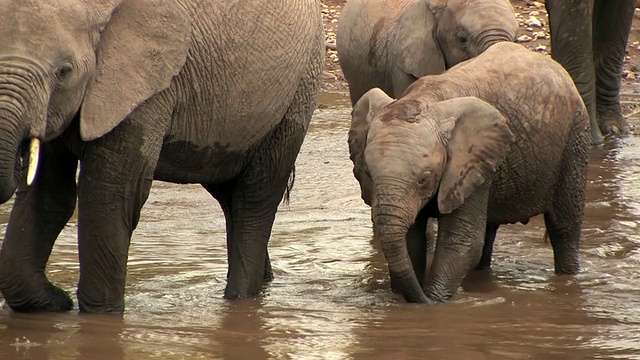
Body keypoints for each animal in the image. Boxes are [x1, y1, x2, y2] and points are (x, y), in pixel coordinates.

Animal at [0, 0, 322, 314]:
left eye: (65, 71)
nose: (61, 297)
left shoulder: (143, 88)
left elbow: (109, 195)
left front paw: (98, 317)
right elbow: (49, 195)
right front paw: (54, 303)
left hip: (297, 92)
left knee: (255, 199)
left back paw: (240, 301)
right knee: (229, 196)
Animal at [350, 42, 592, 304]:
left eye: (424, 179)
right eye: (368, 174)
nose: (422, 298)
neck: (425, 99)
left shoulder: (468, 161)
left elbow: (462, 242)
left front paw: (434, 301)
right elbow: (411, 239)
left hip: (574, 139)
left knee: (563, 228)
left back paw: (568, 277)